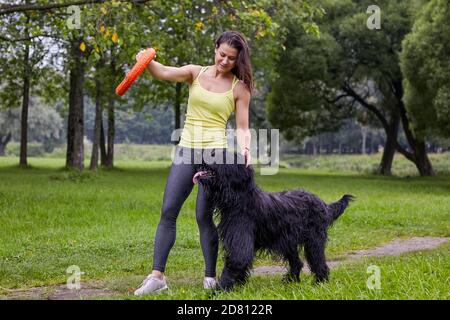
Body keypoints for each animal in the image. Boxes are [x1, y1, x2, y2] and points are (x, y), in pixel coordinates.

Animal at [193, 151, 356, 292]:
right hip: (288, 240)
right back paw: (291, 281)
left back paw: (320, 283)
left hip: (314, 241)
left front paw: (219, 290)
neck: (240, 200)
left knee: (318, 262)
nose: (199, 155)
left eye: (218, 155)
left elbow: (236, 262)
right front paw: (237, 285)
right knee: (297, 262)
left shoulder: (240, 241)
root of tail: (323, 204)